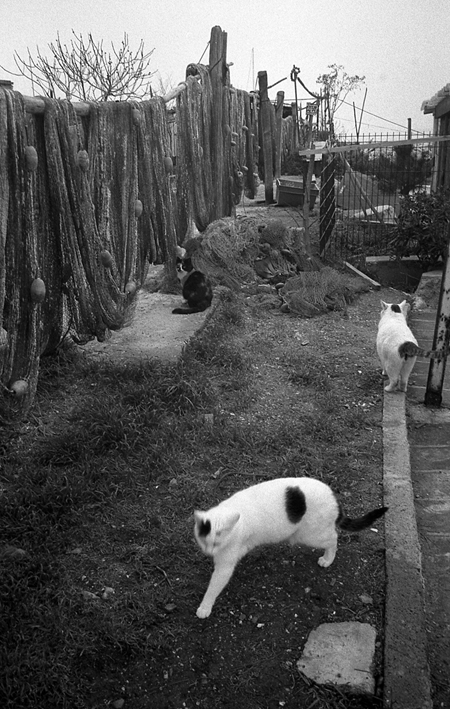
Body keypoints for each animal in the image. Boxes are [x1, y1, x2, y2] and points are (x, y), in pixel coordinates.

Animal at [193, 476, 386, 620]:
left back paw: (327, 559)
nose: (209, 552)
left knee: (334, 538)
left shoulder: (226, 564)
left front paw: (204, 607)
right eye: (205, 541)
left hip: (310, 535)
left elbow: (214, 586)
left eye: (217, 543)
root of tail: (334, 499)